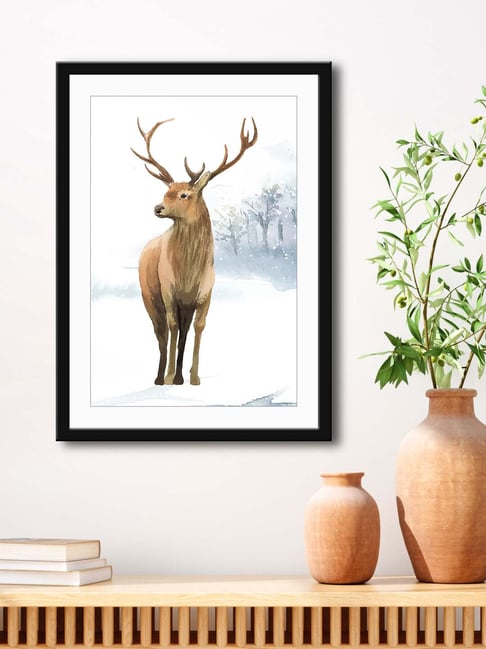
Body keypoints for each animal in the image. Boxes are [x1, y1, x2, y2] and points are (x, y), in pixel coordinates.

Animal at [131, 116, 258, 386]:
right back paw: (159, 377)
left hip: (183, 304)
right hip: (149, 296)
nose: (157, 208)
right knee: (161, 332)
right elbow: (171, 327)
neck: (188, 272)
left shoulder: (204, 294)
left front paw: (193, 377)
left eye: (184, 194)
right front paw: (170, 376)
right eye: (165, 191)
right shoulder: (169, 291)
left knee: (181, 332)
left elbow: (198, 327)